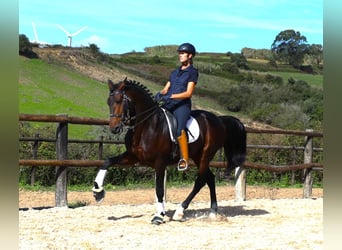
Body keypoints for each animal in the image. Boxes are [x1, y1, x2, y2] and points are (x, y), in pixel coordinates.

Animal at [91, 78, 246, 225]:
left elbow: (159, 189)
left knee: (201, 181)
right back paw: (213, 212)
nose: (114, 128)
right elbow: (107, 162)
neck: (146, 126)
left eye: (120, 101)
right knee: (210, 178)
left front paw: (159, 216)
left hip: (205, 155)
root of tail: (219, 120)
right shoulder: (132, 157)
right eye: (109, 102)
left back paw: (180, 211)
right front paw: (98, 192)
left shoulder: (160, 163)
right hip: (197, 156)